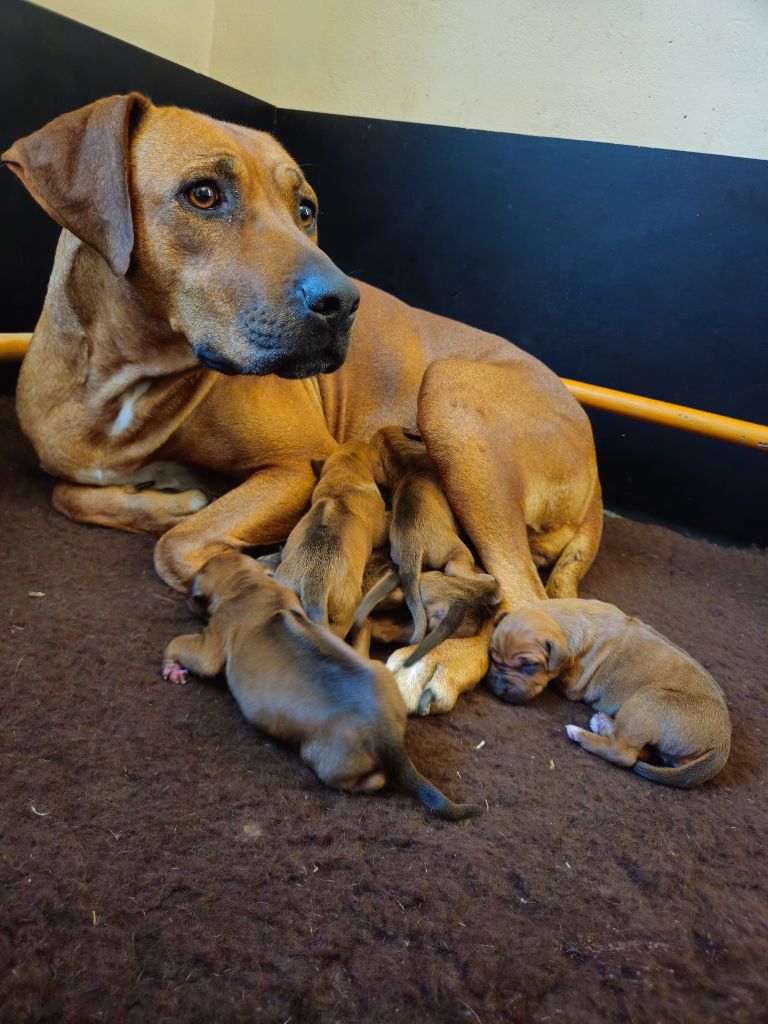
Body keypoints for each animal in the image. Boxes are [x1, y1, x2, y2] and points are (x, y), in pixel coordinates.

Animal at [162, 548, 481, 819]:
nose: (184, 594)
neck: (246, 584)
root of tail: (387, 736)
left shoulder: (214, 637)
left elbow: (186, 647)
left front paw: (171, 665)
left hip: (324, 758)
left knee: (367, 780)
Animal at [489, 598, 729, 786]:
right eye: (492, 656)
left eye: (529, 666)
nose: (498, 688)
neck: (563, 620)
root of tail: (721, 746)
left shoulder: (572, 684)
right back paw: (603, 723)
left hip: (646, 701)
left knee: (623, 753)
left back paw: (581, 734)